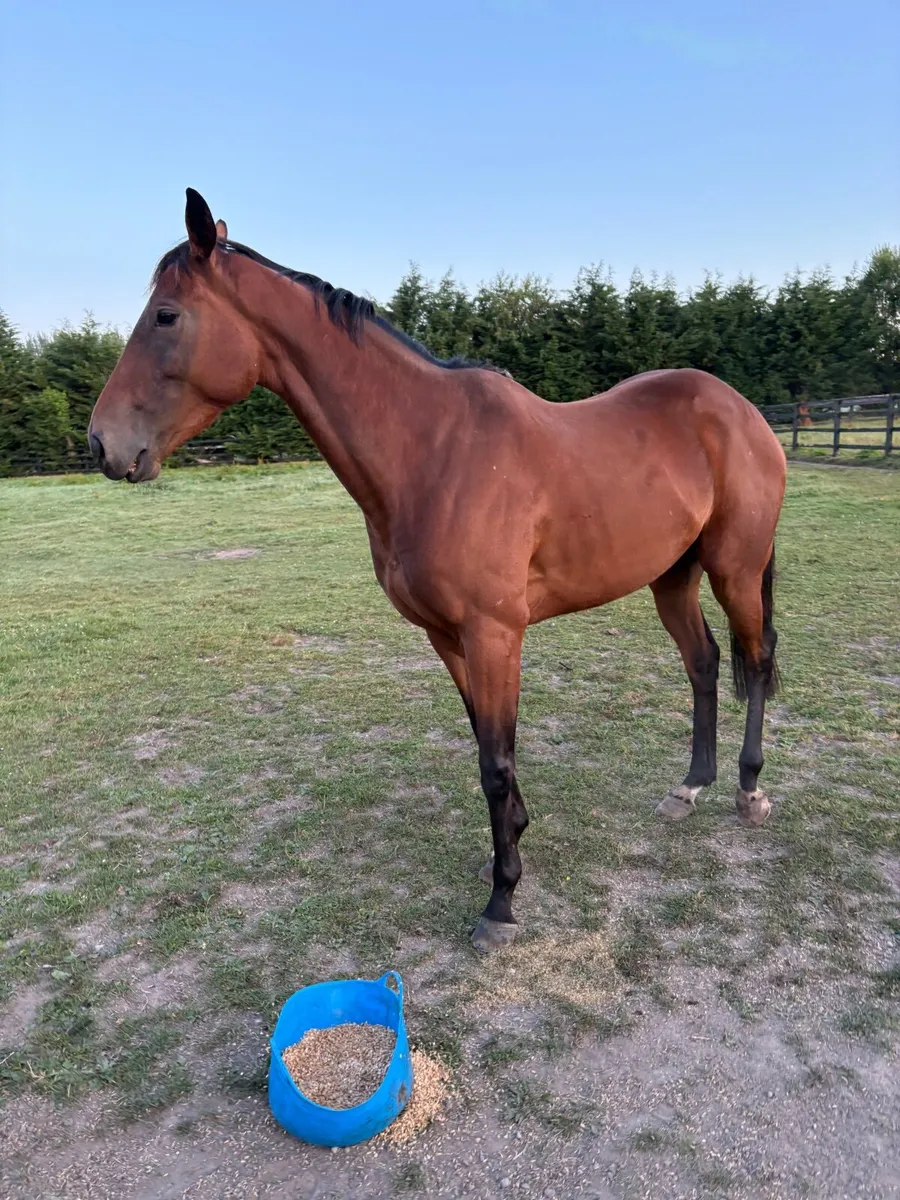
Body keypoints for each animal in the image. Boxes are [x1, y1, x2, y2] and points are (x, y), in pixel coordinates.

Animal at [88, 189, 786, 952]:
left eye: (166, 315)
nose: (102, 443)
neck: (431, 451)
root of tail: (738, 409)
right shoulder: (446, 637)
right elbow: (485, 746)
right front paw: (511, 847)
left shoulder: (494, 634)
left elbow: (495, 762)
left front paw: (501, 902)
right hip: (671, 577)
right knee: (704, 662)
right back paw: (691, 786)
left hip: (735, 568)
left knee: (755, 659)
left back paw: (749, 792)